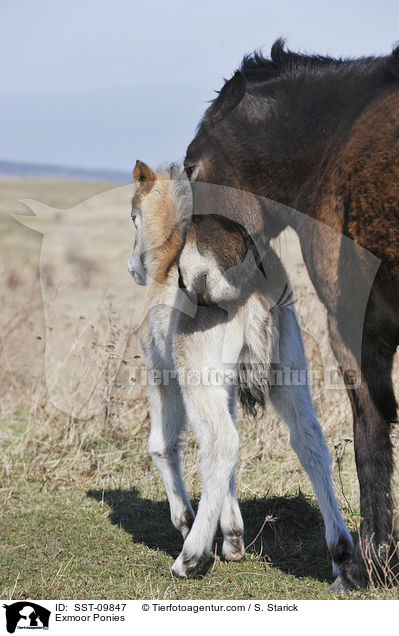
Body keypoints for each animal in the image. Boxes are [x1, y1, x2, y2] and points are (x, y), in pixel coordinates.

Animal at [129, 160, 354, 580]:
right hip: (288, 377)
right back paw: (341, 550)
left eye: (133, 216)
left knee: (221, 442)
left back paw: (190, 558)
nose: (133, 268)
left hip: (197, 383)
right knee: (309, 440)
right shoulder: (229, 386)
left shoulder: (161, 375)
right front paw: (233, 538)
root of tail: (250, 291)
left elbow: (162, 446)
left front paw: (188, 522)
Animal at [181, 38, 399, 588]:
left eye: (192, 167)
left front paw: (367, 564)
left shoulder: (354, 324)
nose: (188, 279)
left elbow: (369, 436)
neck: (337, 132)